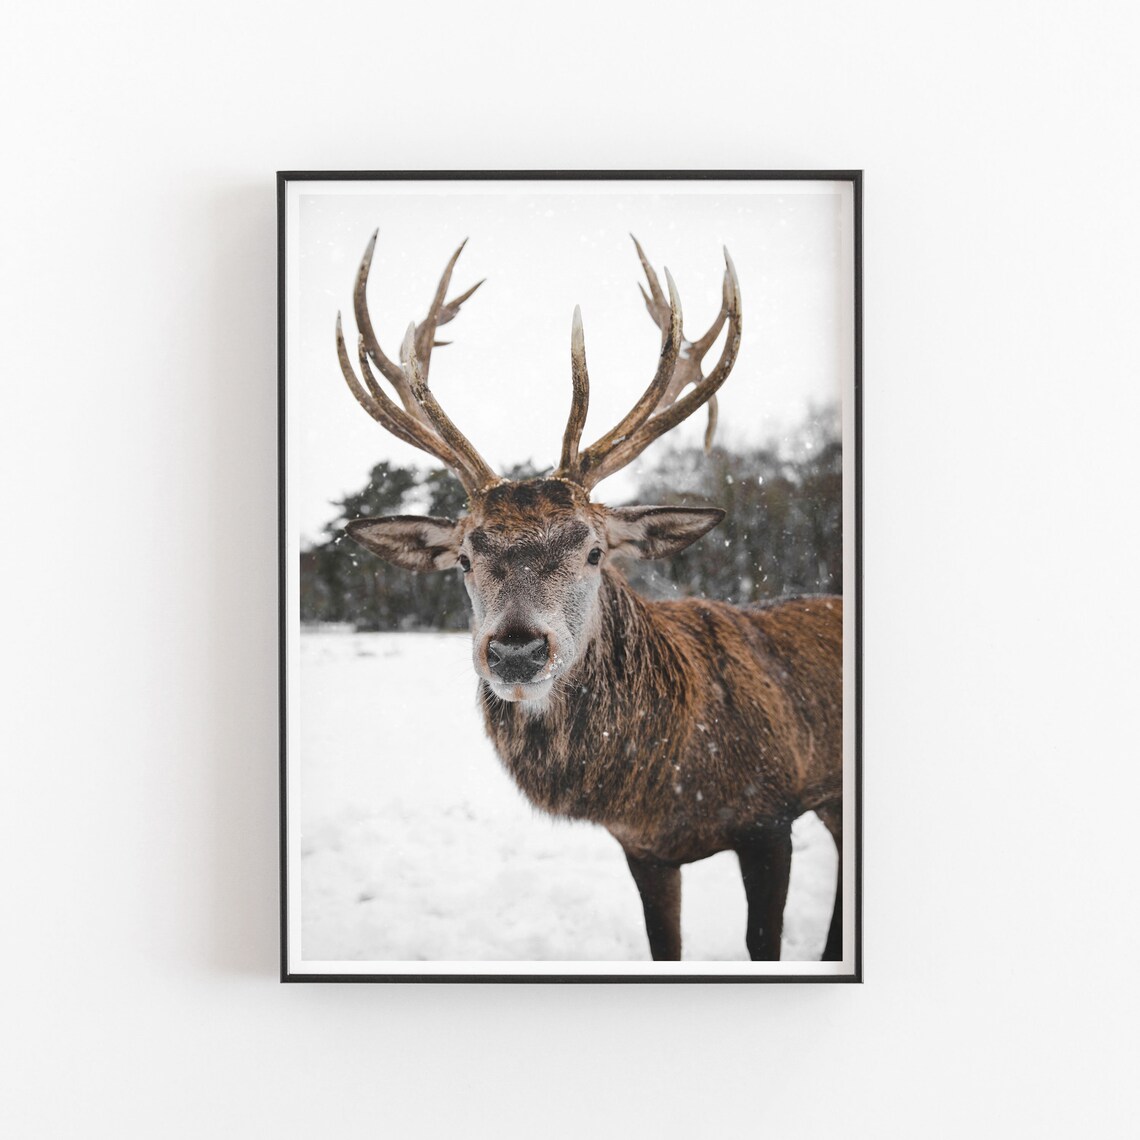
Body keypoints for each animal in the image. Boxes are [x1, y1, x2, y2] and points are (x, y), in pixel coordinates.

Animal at [333, 231, 843, 962]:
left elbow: (762, 941)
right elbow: (664, 945)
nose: (516, 650)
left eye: (595, 551)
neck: (669, 783)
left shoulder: (771, 814)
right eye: (464, 559)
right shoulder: (643, 850)